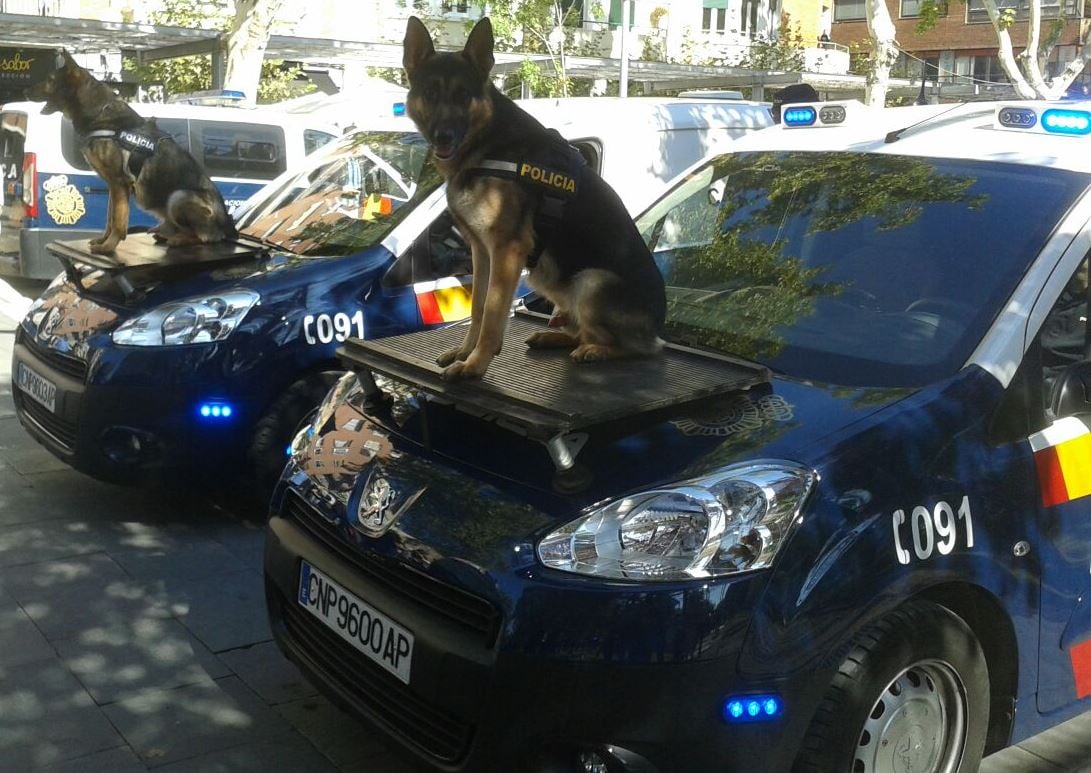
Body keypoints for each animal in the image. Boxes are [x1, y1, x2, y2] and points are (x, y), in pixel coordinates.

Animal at [25, 52, 236, 256]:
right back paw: (166, 234)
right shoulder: (113, 185)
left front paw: (108, 248)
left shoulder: (119, 182)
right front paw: (103, 241)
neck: (99, 111)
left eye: (50, 79)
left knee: (204, 237)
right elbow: (110, 219)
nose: (25, 92)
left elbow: (118, 222)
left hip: (178, 197)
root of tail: (228, 227)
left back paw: (179, 239)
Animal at [405, 17, 667, 379]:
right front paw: (466, 352)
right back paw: (554, 337)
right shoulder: (481, 251)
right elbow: (478, 307)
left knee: (637, 349)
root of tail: (657, 326)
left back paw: (596, 351)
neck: (488, 142)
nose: (444, 136)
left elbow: (492, 313)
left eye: (463, 95)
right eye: (430, 93)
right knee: (581, 332)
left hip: (590, 281)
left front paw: (475, 365)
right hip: (548, 281)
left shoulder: (506, 251)